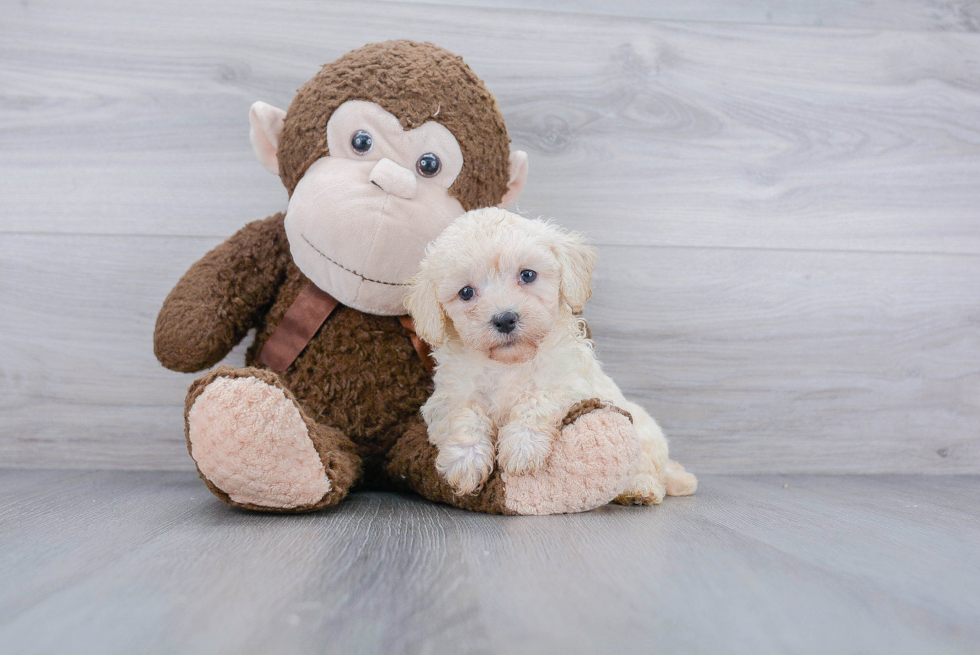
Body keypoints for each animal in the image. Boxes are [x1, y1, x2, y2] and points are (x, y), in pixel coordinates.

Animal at [406, 208, 696, 504]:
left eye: (528, 275)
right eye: (466, 292)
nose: (504, 319)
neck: (510, 363)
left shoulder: (570, 384)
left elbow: (538, 400)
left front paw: (522, 448)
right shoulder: (448, 396)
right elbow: (463, 415)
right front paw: (465, 463)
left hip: (642, 431)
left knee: (648, 470)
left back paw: (639, 489)